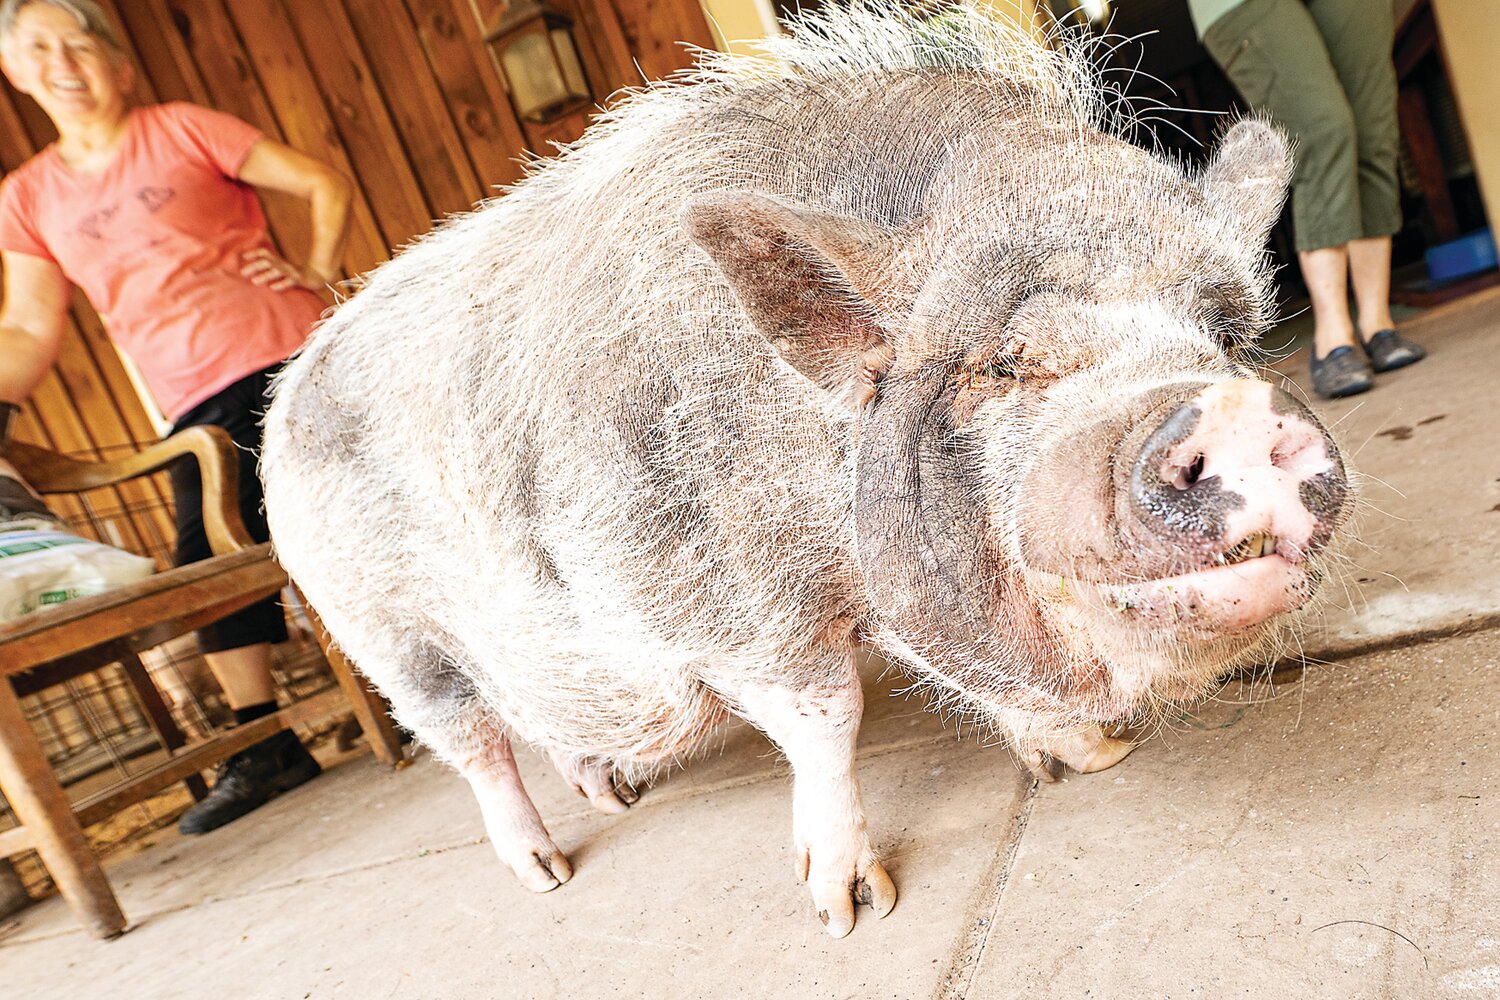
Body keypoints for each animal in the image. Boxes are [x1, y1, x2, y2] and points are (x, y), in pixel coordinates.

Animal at [258, 1, 1350, 941]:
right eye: (1004, 363)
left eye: (1225, 335)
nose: (1232, 411)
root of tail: (287, 390)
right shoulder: (731, 602)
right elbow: (829, 720)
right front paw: (849, 912)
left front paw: (1093, 757)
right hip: (387, 637)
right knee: (475, 743)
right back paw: (546, 874)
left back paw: (604, 789)